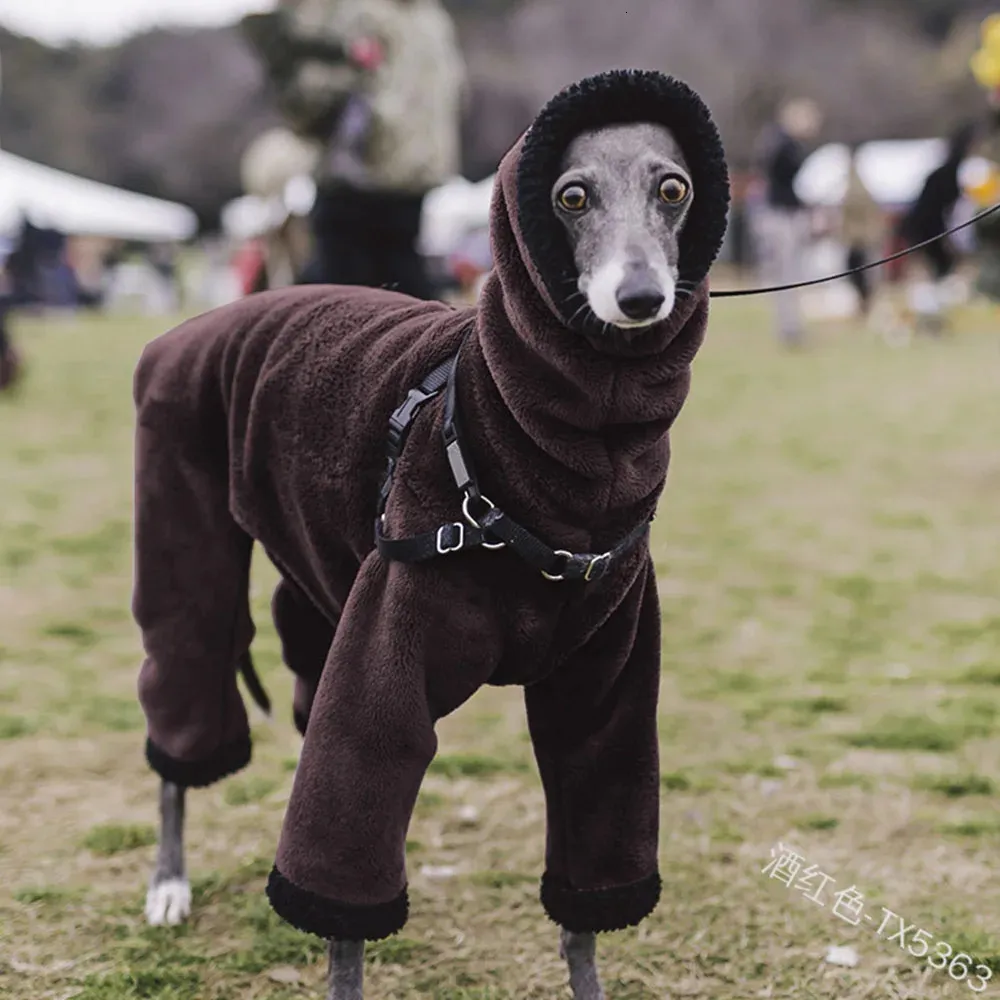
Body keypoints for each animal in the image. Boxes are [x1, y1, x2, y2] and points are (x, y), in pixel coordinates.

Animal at [133, 70, 728, 1000]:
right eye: (571, 195)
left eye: (674, 189)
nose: (639, 299)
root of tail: (189, 329)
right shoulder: (382, 674)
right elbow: (344, 878)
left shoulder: (610, 696)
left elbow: (588, 892)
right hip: (185, 546)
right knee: (183, 702)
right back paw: (169, 881)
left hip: (317, 586)